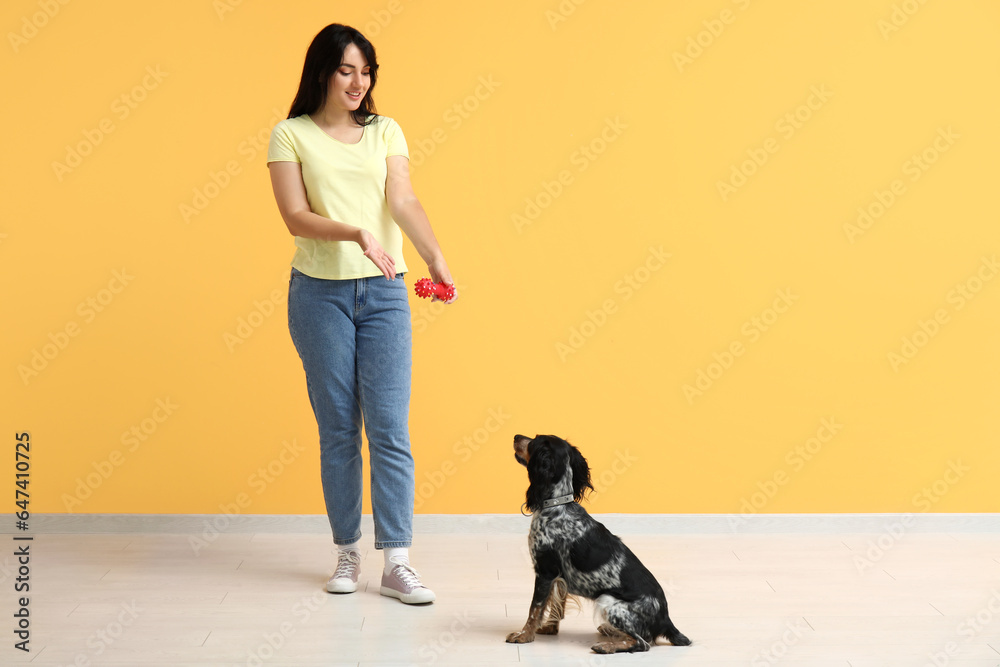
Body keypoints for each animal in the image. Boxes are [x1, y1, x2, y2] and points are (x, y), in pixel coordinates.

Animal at [504, 436, 692, 656]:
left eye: (534, 441)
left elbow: (534, 608)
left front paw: (524, 635)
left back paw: (605, 646)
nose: (516, 436)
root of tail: (665, 619)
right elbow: (556, 603)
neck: (558, 505)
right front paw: (549, 628)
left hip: (607, 601)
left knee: (642, 643)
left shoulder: (545, 571)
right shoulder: (559, 576)